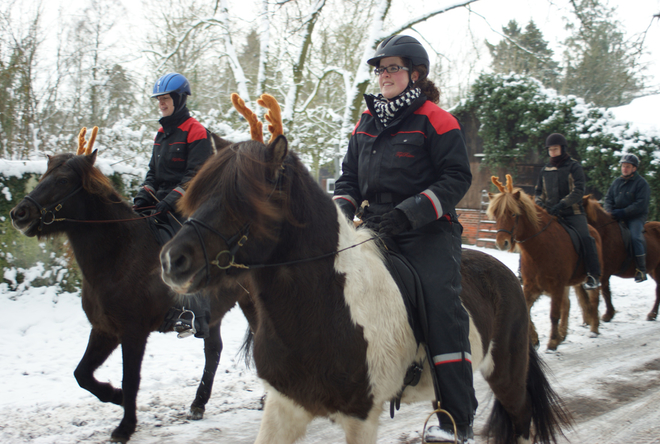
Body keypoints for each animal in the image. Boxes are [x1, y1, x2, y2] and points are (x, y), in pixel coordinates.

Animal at [9, 130, 255, 442]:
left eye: (62, 180)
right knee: (213, 351)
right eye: (42, 177)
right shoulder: (104, 329)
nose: (19, 214)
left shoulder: (133, 331)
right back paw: (198, 404)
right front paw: (115, 396)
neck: (121, 255)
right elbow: (82, 374)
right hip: (213, 315)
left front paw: (125, 425)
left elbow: (131, 377)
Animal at [156, 95, 572, 444]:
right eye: (203, 191)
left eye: (244, 197)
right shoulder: (285, 406)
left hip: (508, 377)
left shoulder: (361, 416)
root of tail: (504, 273)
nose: (172, 260)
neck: (323, 308)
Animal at [484, 175, 604, 352]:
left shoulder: (556, 286)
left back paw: (593, 329)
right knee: (567, 305)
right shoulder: (531, 286)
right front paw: (535, 339)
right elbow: (527, 311)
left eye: (513, 214)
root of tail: (594, 230)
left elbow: (554, 314)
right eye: (496, 214)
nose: (502, 243)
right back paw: (563, 334)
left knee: (594, 299)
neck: (540, 248)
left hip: (590, 278)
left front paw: (552, 341)